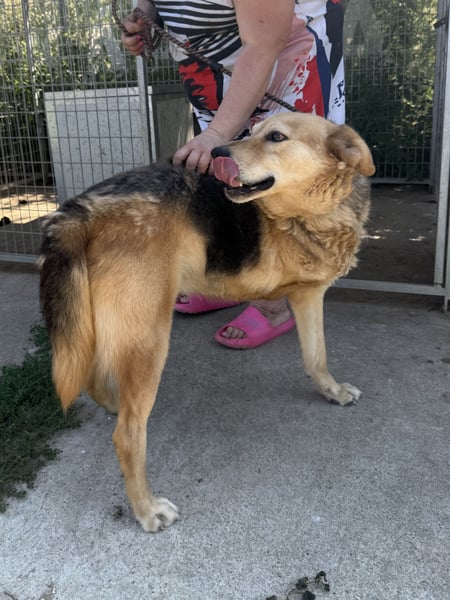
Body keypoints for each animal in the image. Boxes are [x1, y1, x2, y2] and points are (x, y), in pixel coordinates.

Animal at [39, 112, 375, 532]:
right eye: (252, 131)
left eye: (276, 137)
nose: (216, 153)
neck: (312, 207)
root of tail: (81, 208)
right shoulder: (308, 295)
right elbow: (318, 355)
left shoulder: (308, 296)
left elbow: (317, 359)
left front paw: (333, 391)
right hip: (149, 339)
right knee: (128, 434)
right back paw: (146, 508)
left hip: (111, 327)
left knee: (93, 377)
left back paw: (115, 404)